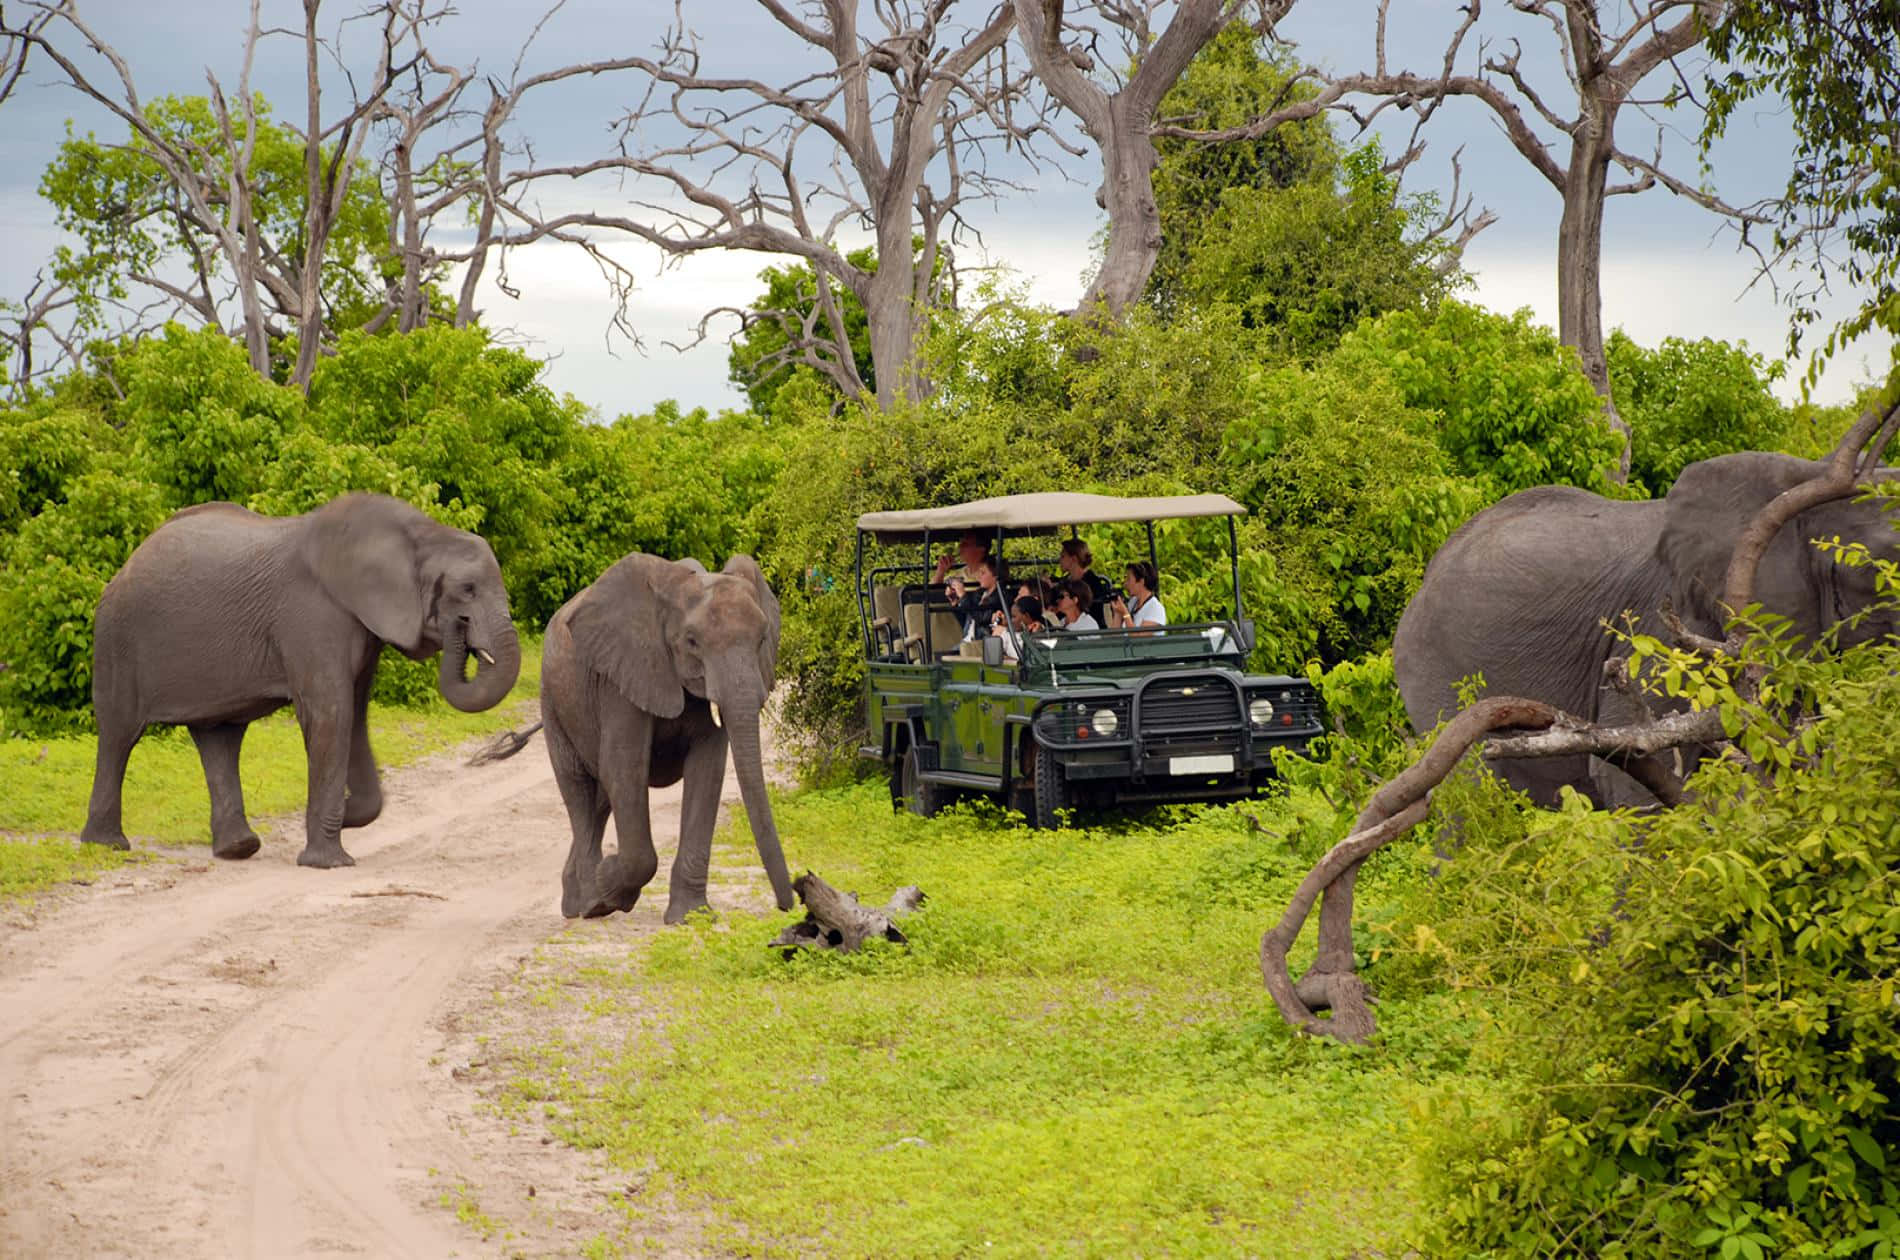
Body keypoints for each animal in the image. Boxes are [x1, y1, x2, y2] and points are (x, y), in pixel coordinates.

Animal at [82, 493, 522, 866]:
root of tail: (127, 563)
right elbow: (331, 714)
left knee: (219, 737)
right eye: (466, 590)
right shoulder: (311, 613)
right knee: (120, 734)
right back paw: (108, 846)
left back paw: (238, 849)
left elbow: (354, 715)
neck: (421, 532)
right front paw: (329, 861)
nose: (459, 629)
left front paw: (346, 817)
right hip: (117, 639)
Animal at [536, 551, 797, 922]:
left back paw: (578, 900)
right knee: (579, 790)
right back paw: (590, 904)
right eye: (691, 641)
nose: (787, 905)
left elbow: (708, 772)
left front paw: (690, 917)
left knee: (600, 799)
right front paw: (610, 887)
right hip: (553, 700)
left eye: (762, 639)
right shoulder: (621, 675)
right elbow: (624, 766)